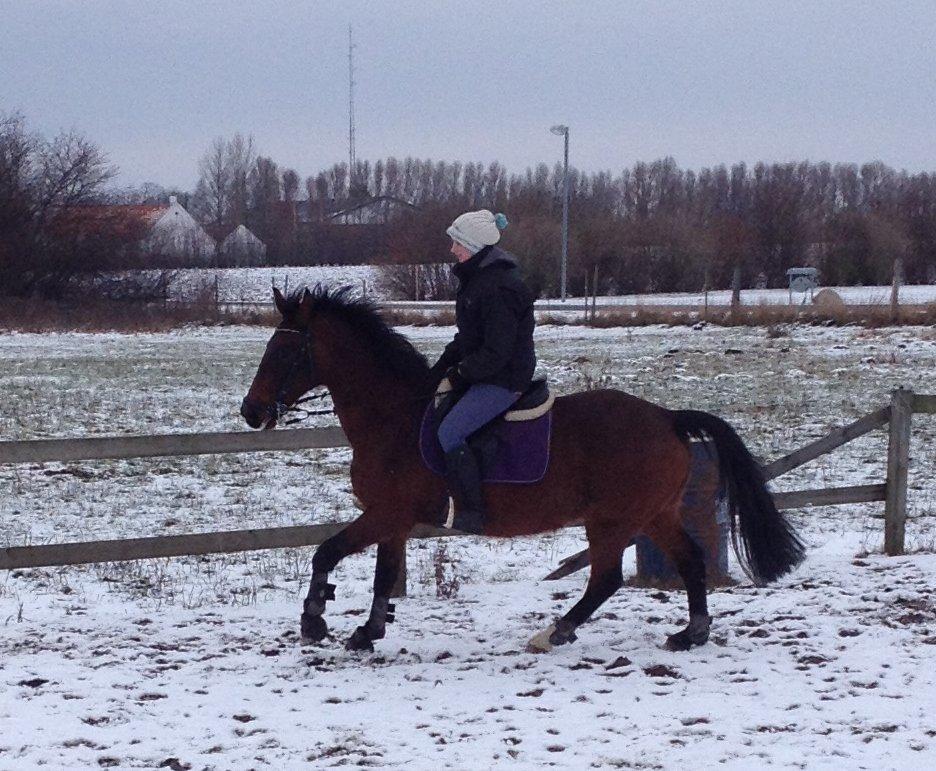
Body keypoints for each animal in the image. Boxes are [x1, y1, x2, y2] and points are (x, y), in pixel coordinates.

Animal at [239, 286, 804, 656]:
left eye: (284, 349)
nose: (250, 412)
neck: (393, 415)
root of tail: (667, 417)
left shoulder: (385, 514)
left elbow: (326, 552)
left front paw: (314, 621)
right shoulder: (392, 520)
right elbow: (383, 574)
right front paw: (367, 632)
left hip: (612, 520)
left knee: (605, 578)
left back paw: (553, 633)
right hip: (653, 514)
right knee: (688, 561)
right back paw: (691, 634)